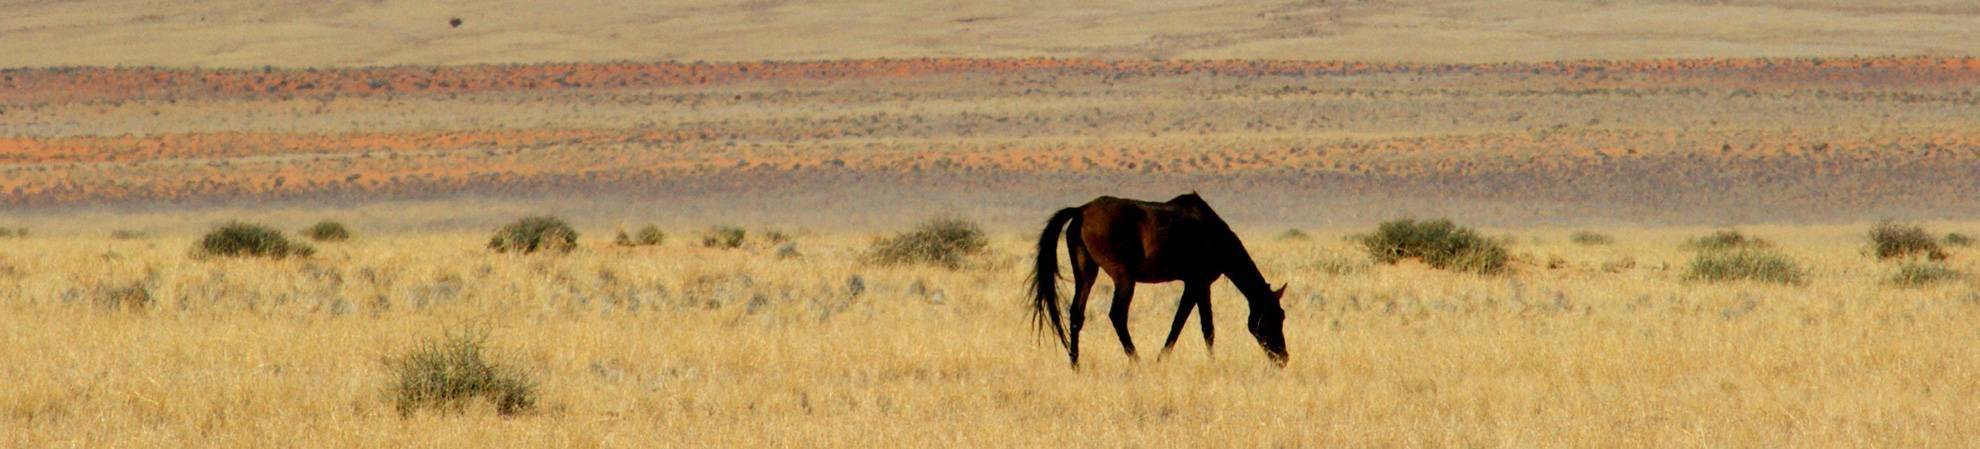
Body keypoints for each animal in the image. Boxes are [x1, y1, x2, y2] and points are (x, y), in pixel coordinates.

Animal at [1029, 193, 1288, 368]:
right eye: (1274, 317)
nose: (1283, 358)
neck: (1214, 234)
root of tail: (1081, 211)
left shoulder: (1198, 285)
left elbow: (1196, 325)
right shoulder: (1197, 283)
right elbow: (1191, 324)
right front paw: (1169, 359)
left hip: (1086, 273)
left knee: (1076, 315)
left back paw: (1075, 364)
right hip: (1124, 278)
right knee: (1117, 315)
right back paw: (1137, 361)